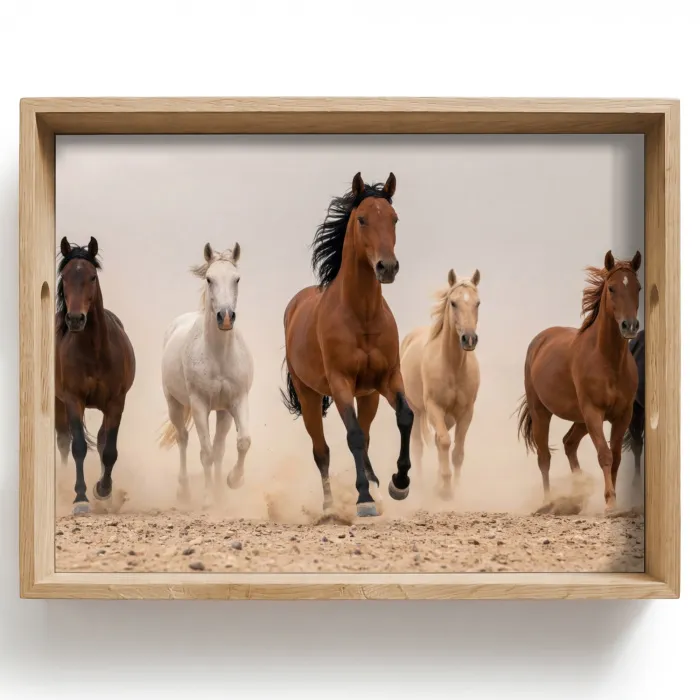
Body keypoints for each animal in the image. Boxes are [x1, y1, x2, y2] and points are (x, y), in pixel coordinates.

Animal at [55, 237, 136, 515]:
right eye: (65, 276)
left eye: (92, 276)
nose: (75, 319)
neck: (95, 351)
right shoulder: (72, 399)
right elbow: (78, 446)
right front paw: (80, 498)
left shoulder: (116, 402)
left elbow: (109, 449)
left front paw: (103, 490)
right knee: (63, 440)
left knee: (101, 440)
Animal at [159, 243, 253, 509]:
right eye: (210, 279)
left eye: (237, 278)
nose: (226, 317)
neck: (218, 355)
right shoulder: (200, 405)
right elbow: (206, 452)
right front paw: (209, 499)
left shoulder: (235, 402)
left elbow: (241, 442)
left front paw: (232, 483)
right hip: (174, 404)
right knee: (183, 438)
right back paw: (184, 491)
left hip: (221, 412)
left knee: (218, 447)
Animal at [281, 172, 414, 518]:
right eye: (363, 219)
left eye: (394, 219)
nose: (387, 267)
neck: (362, 316)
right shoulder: (340, 383)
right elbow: (351, 435)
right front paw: (363, 499)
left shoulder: (388, 379)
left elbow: (405, 417)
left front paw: (399, 484)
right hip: (310, 396)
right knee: (322, 451)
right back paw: (330, 506)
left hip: (368, 396)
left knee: (365, 436)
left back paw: (378, 484)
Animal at [400, 268, 481, 499]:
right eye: (453, 303)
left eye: (477, 303)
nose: (469, 339)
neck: (452, 366)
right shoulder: (434, 408)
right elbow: (444, 442)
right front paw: (445, 488)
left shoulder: (465, 412)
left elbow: (458, 451)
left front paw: (455, 487)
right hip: (417, 411)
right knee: (418, 446)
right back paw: (420, 483)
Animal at [516, 250, 642, 512]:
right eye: (612, 288)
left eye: (638, 287)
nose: (630, 326)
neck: (607, 360)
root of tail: (540, 340)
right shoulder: (593, 411)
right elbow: (604, 454)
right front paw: (610, 503)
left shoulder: (622, 415)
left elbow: (616, 456)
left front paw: (614, 501)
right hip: (542, 411)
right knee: (544, 457)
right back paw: (548, 502)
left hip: (580, 419)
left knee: (569, 443)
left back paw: (577, 494)